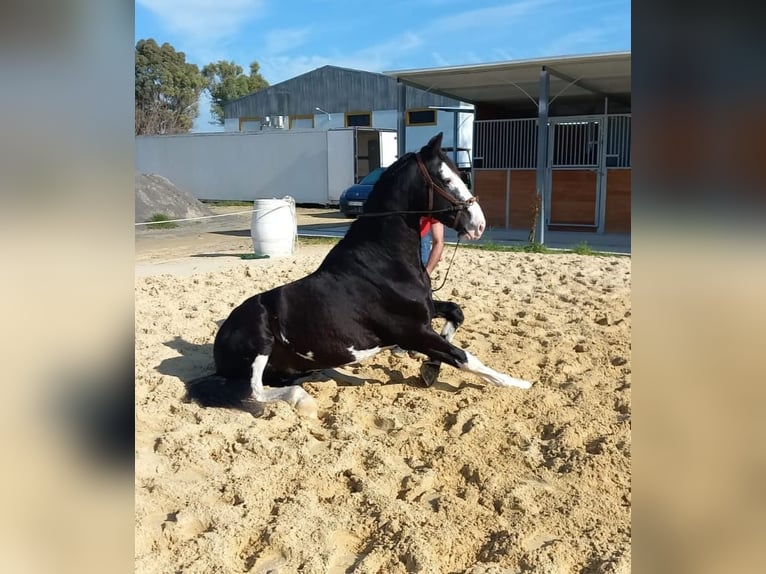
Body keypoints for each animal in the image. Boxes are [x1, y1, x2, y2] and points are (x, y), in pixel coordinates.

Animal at [186, 132, 536, 416]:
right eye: (446, 180)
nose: (479, 225)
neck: (383, 261)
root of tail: (222, 338)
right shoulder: (412, 330)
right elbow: (465, 357)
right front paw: (521, 384)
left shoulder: (425, 315)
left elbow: (456, 314)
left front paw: (428, 366)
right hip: (259, 339)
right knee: (255, 391)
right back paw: (304, 402)